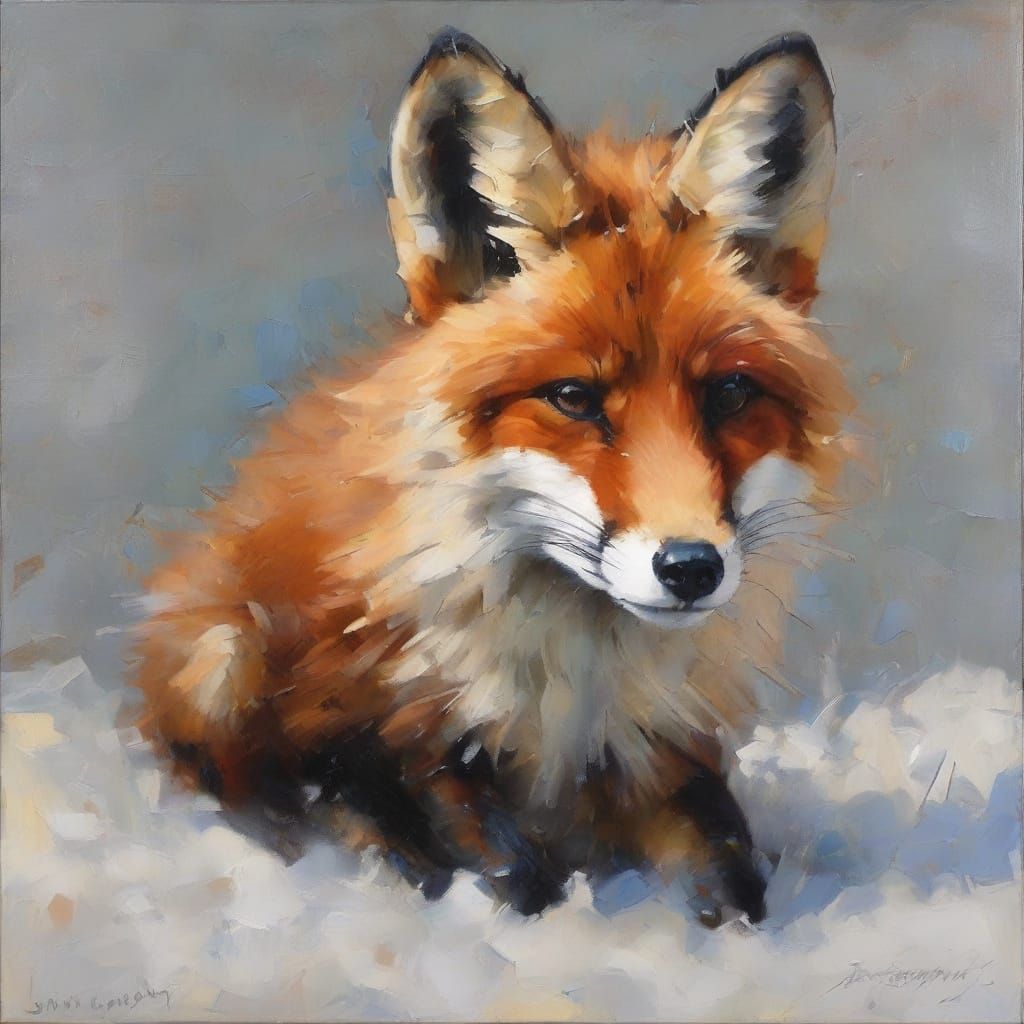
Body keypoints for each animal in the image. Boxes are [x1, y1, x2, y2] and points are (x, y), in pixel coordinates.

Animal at [133, 29, 852, 924]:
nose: (691, 568)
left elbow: (729, 869)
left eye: (727, 395)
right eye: (574, 398)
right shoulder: (364, 735)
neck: (576, 686)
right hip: (218, 654)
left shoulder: (665, 752)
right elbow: (488, 862)